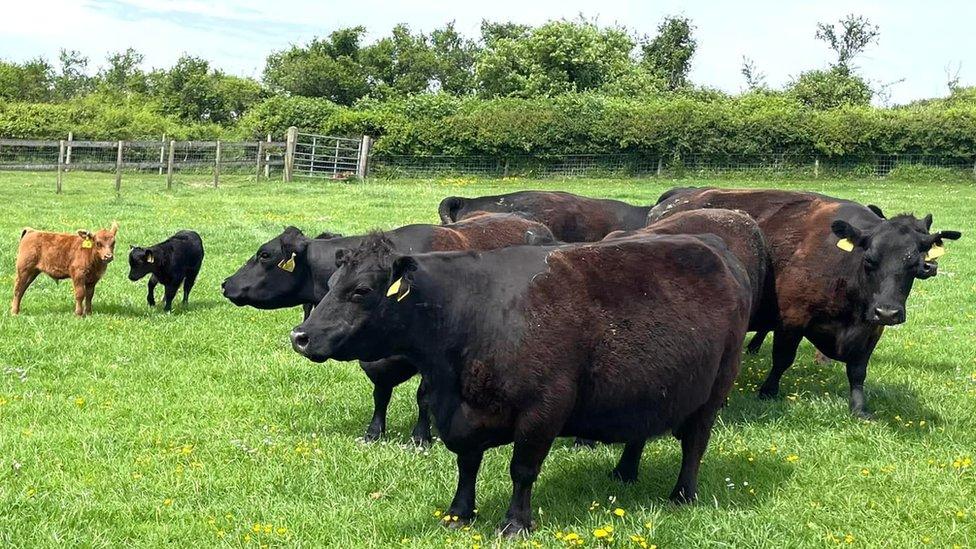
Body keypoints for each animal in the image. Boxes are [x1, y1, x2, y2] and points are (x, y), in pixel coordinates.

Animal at [290, 232, 748, 536]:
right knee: (640, 431)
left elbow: (522, 470)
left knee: (695, 444)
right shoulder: (460, 415)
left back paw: (682, 495)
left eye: (362, 290)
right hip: (649, 388)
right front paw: (459, 513)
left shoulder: (543, 409)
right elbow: (467, 464)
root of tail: (718, 250)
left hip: (715, 390)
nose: (300, 335)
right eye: (330, 285)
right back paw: (624, 472)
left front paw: (514, 524)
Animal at [648, 188, 960, 416]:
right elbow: (783, 358)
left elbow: (858, 371)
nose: (888, 311)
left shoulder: (872, 328)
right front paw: (768, 391)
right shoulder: (792, 318)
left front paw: (859, 408)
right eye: (869, 260)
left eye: (914, 263)